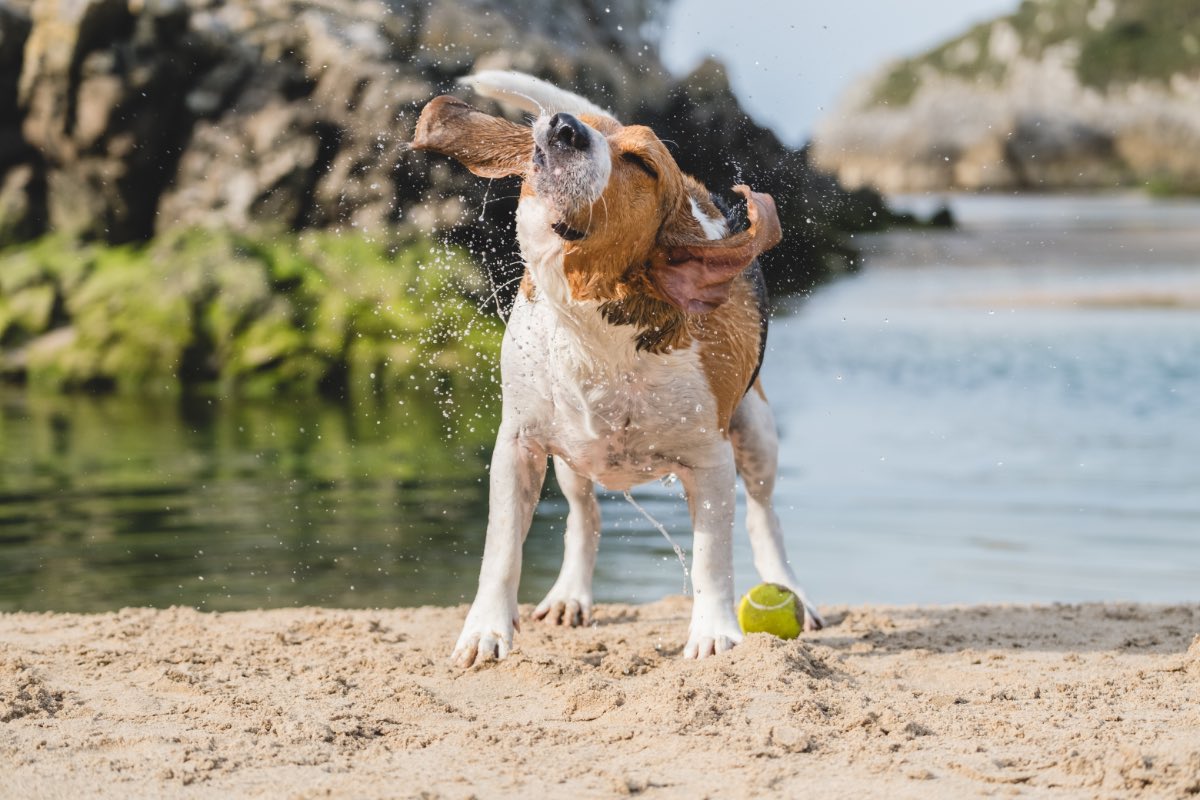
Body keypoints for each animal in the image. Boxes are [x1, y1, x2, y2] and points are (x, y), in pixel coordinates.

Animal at [412, 71, 825, 666]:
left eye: (643, 164)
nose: (564, 125)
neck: (591, 322)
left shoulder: (710, 460)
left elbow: (711, 558)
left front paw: (713, 633)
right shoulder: (518, 445)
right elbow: (501, 549)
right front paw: (486, 629)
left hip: (756, 432)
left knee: (761, 515)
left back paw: (790, 591)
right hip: (570, 457)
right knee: (586, 515)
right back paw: (570, 594)